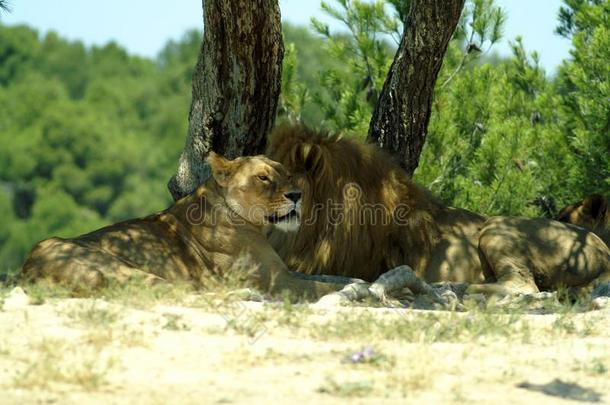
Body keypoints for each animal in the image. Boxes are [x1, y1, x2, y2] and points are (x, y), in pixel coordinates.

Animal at [21, 152, 344, 296]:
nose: (297, 195)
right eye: (263, 177)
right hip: (133, 272)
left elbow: (332, 278)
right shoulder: (277, 279)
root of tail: (30, 269)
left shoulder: (285, 273)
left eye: (286, 175)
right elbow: (321, 286)